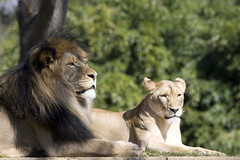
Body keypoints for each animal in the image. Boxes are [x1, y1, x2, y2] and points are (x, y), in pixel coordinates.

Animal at [0, 32, 141, 158]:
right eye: (71, 64)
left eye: (84, 62)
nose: (95, 75)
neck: (66, 100)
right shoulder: (54, 147)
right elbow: (101, 145)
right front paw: (131, 148)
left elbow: (101, 138)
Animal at [91, 77, 225, 155]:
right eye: (164, 96)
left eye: (179, 95)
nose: (175, 109)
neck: (165, 125)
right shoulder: (149, 144)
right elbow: (176, 149)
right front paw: (200, 151)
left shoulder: (176, 142)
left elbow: (188, 146)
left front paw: (214, 152)